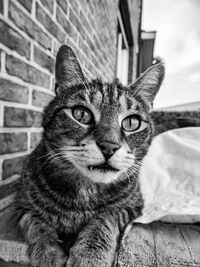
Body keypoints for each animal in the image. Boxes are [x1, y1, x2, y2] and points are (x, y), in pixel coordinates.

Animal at [15, 45, 164, 266]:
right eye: (81, 114)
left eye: (132, 123)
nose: (109, 146)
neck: (84, 195)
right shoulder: (21, 205)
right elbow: (37, 224)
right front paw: (49, 254)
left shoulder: (132, 206)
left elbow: (104, 219)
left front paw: (88, 255)